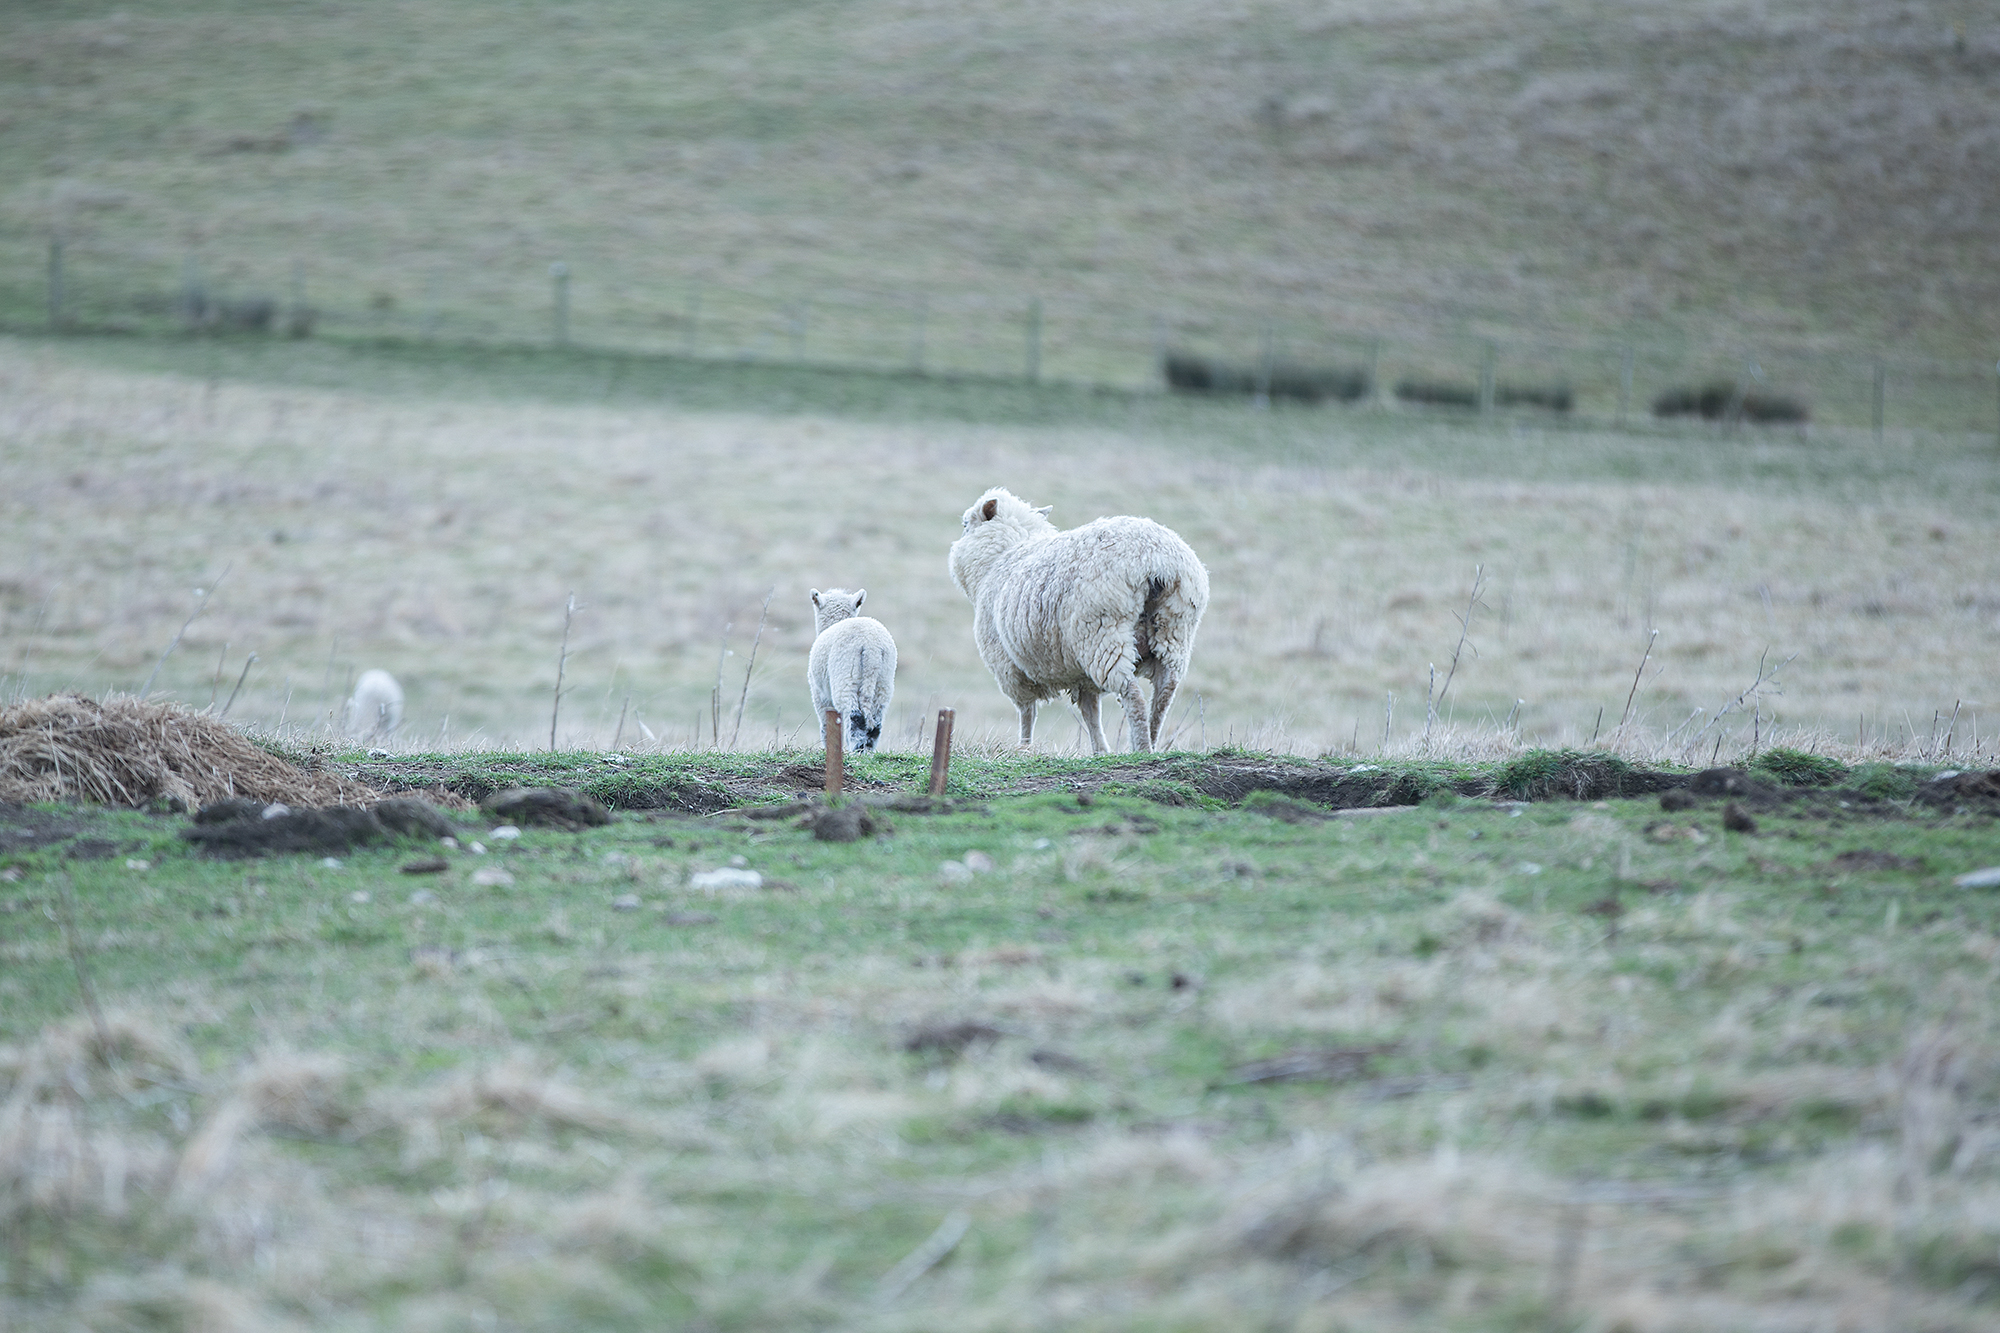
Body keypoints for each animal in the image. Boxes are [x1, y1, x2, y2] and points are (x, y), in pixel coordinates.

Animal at [804, 588, 900, 752]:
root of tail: (871, 646)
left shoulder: (819, 693)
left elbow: (826, 722)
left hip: (846, 673)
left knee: (854, 715)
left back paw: (857, 749)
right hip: (884, 678)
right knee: (876, 719)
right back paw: (867, 749)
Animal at [948, 486, 1208, 752]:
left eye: (965, 523)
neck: (1000, 557)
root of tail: (1158, 562)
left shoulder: (1008, 666)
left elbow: (1027, 712)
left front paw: (1025, 748)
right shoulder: (1080, 674)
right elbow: (1090, 711)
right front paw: (1100, 750)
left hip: (1104, 634)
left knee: (1133, 694)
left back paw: (1142, 747)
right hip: (1174, 629)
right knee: (1165, 692)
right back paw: (1152, 742)